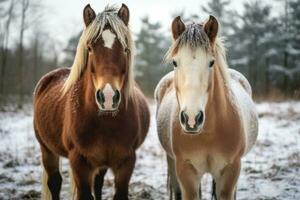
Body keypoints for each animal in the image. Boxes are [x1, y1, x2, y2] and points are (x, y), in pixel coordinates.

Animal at [33, 4, 149, 200]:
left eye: (125, 49)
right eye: (90, 48)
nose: (108, 97)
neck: (106, 121)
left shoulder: (127, 161)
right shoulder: (79, 162)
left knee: (98, 183)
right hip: (47, 150)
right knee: (54, 182)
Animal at [155, 16, 258, 200]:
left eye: (211, 62)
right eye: (175, 62)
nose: (191, 119)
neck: (209, 133)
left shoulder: (230, 172)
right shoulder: (186, 172)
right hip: (171, 161)